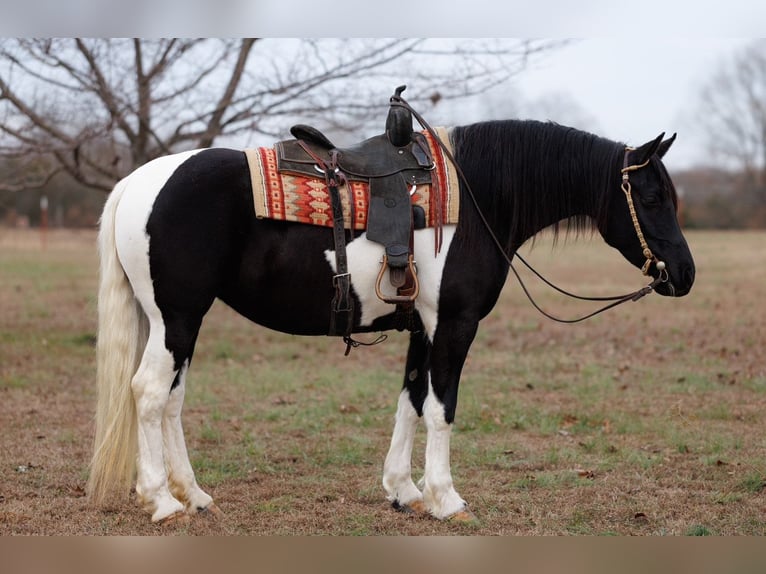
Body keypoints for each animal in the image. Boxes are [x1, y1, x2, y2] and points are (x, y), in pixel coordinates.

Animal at [87, 118, 695, 525]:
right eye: (651, 196)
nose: (685, 274)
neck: (476, 199)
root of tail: (138, 183)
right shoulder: (454, 324)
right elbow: (442, 408)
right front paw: (448, 499)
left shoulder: (422, 326)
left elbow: (411, 400)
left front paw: (405, 490)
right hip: (177, 318)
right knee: (149, 393)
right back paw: (162, 500)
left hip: (183, 323)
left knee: (172, 400)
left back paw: (192, 494)